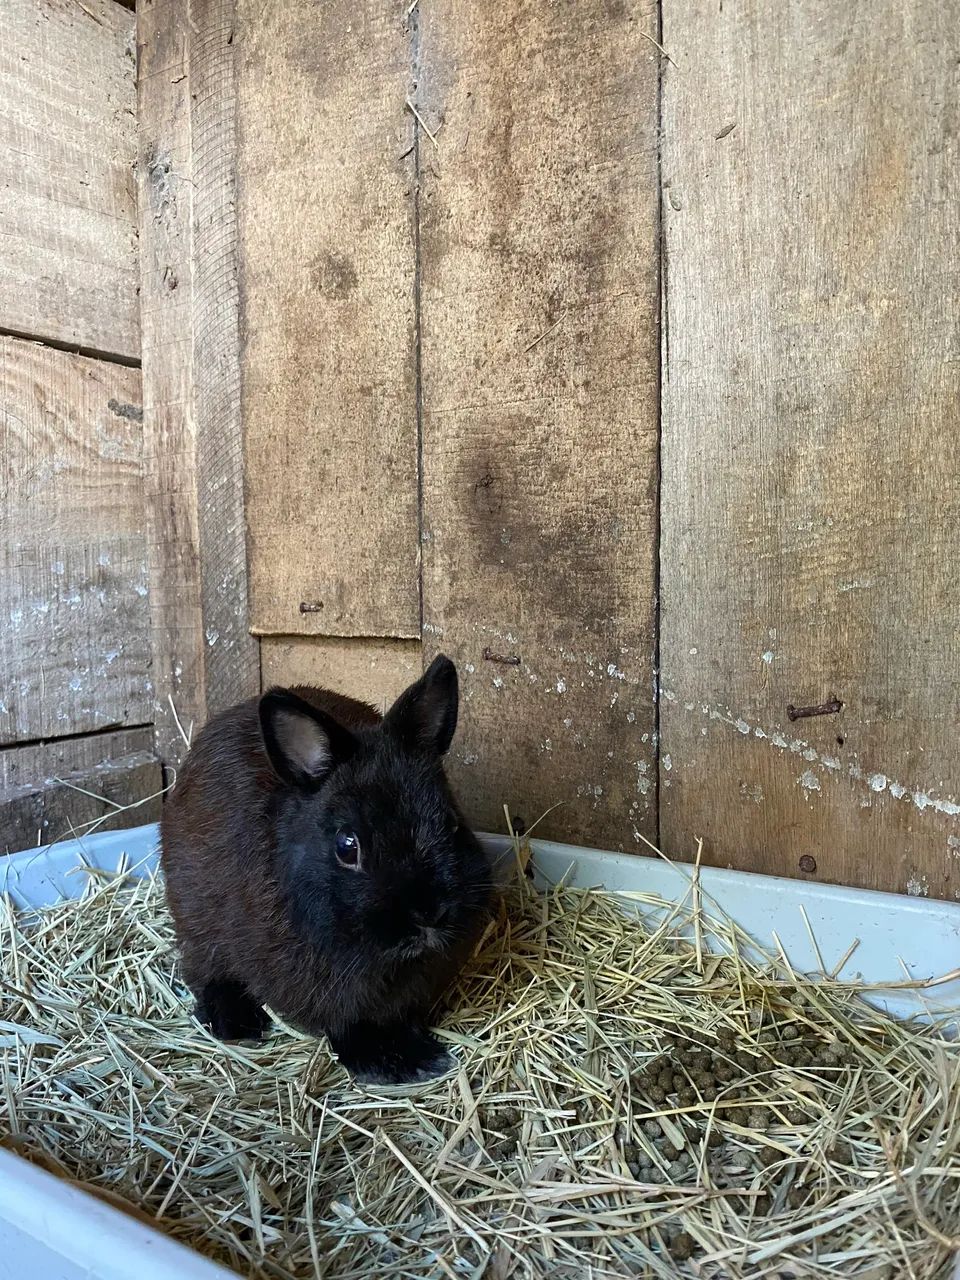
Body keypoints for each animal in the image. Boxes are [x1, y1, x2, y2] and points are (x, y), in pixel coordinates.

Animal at [159, 655, 494, 1084]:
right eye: (347, 847)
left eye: (451, 823)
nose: (428, 915)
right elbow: (346, 1026)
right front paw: (395, 1062)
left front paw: (416, 1053)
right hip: (196, 924)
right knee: (204, 972)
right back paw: (235, 1024)